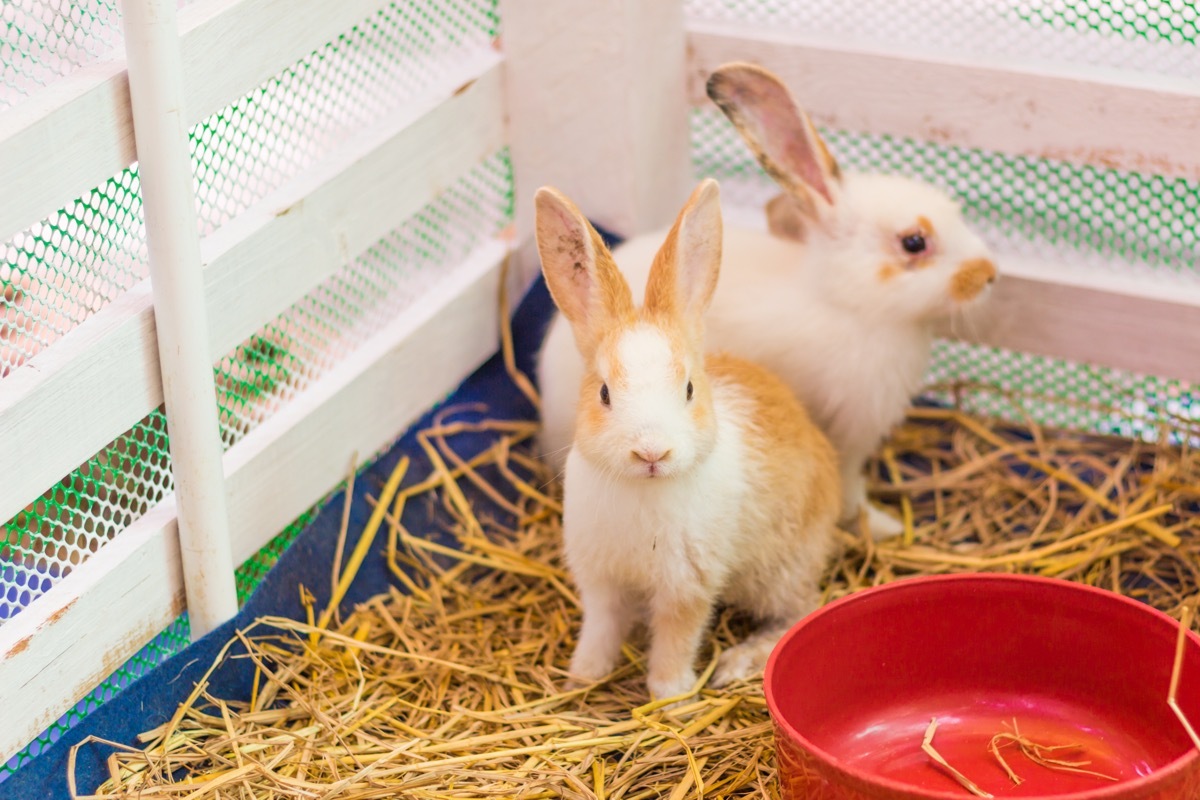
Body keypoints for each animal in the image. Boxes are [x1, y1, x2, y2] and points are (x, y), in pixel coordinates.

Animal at [535, 176, 835, 700]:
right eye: (604, 393)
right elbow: (601, 627)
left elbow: (676, 639)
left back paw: (739, 661)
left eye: (690, 388)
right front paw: (582, 676)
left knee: (798, 611)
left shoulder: (687, 586)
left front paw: (670, 695)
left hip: (782, 571)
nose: (651, 451)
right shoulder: (600, 581)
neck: (644, 489)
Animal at [540, 61, 998, 537]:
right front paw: (880, 524)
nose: (989, 274)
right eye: (914, 242)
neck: (848, 303)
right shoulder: (848, 434)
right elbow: (850, 483)